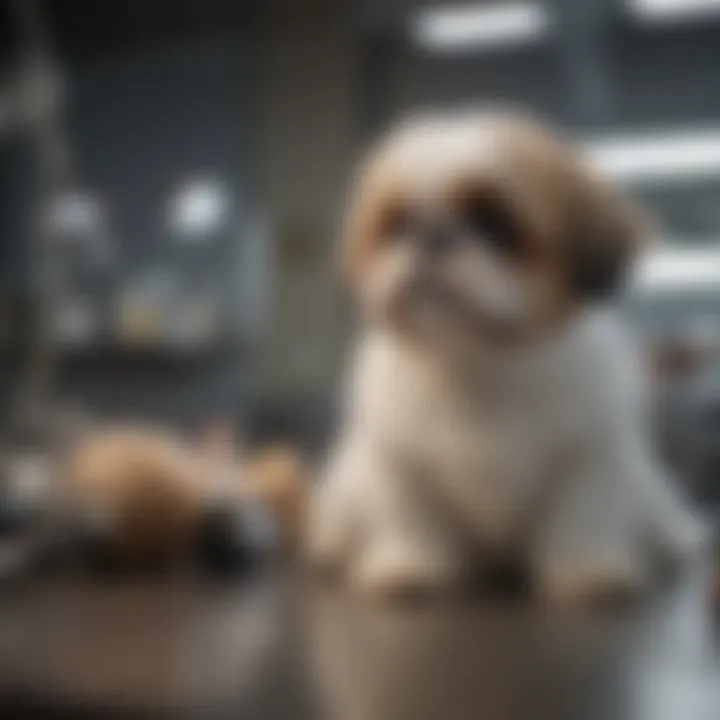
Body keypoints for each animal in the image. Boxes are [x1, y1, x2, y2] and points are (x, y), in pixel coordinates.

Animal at [308, 109, 704, 604]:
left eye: (492, 224)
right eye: (397, 225)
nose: (432, 235)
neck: (480, 366)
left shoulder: (589, 458)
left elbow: (583, 516)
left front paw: (587, 573)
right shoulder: (397, 462)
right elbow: (409, 516)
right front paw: (410, 567)